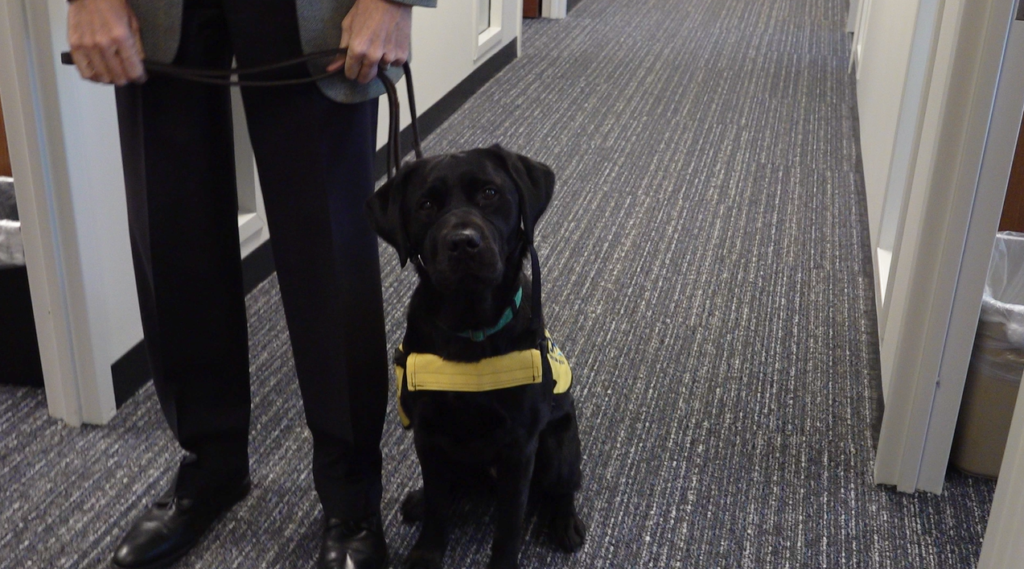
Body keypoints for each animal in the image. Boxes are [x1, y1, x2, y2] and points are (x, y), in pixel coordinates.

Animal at [368, 145, 589, 569]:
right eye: (426, 205)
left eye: (489, 193)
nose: (462, 242)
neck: (469, 327)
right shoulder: (428, 433)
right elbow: (438, 506)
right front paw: (426, 553)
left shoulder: (519, 446)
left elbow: (509, 523)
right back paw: (419, 500)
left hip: (558, 445)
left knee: (563, 487)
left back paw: (565, 522)